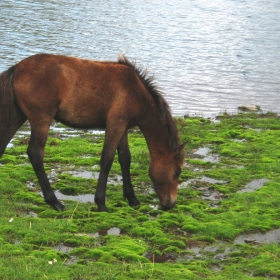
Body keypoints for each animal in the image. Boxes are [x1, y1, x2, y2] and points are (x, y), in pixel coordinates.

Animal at [0, 53, 186, 211]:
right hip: (41, 120)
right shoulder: (115, 125)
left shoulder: (123, 127)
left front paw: (132, 199)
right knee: (35, 154)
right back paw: (55, 202)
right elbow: (107, 160)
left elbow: (125, 159)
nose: (170, 203)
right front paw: (101, 203)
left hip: (18, 116)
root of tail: (16, 68)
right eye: (177, 171)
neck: (136, 91)